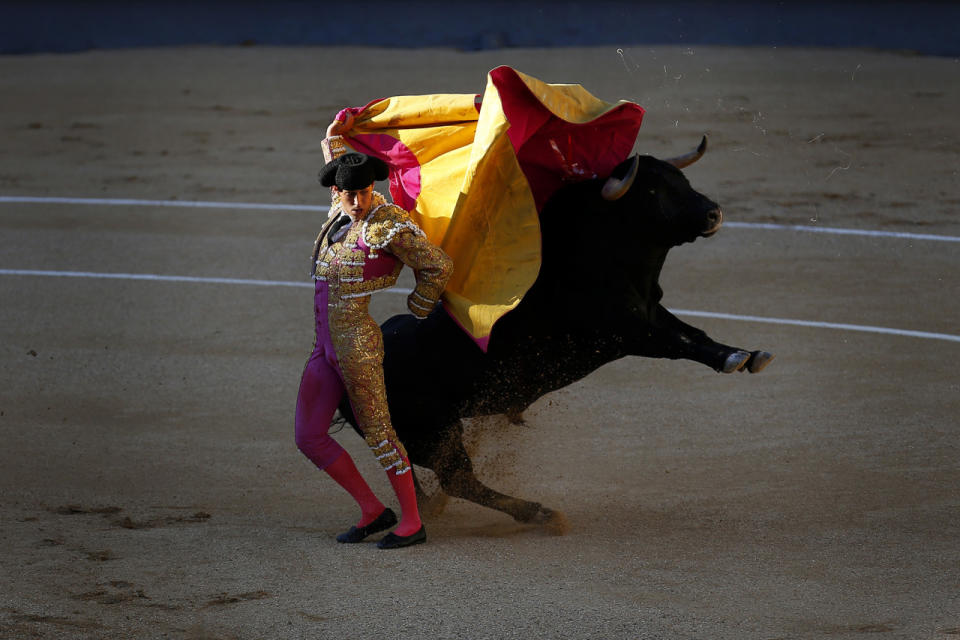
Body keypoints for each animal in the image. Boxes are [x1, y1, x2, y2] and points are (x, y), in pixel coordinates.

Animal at [338, 140, 772, 528]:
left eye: (681, 178)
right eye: (652, 191)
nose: (714, 214)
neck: (594, 259)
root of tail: (343, 379)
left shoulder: (651, 312)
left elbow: (694, 333)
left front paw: (749, 355)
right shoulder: (628, 333)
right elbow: (681, 344)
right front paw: (736, 359)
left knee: (422, 475)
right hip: (436, 432)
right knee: (459, 480)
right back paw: (539, 513)